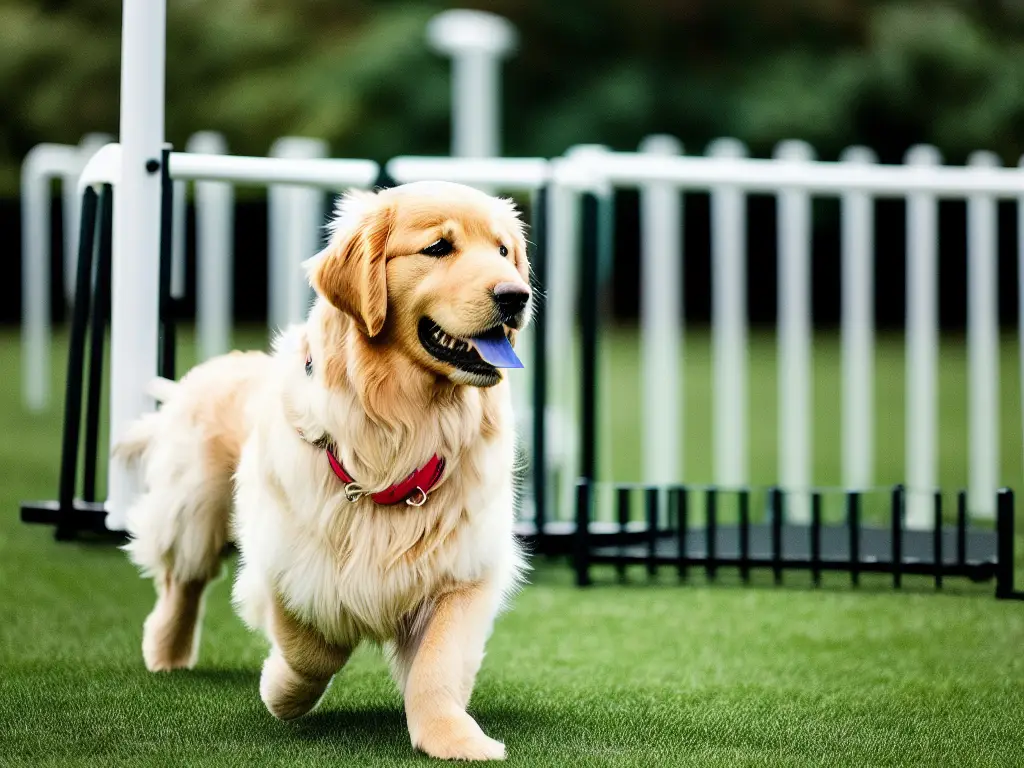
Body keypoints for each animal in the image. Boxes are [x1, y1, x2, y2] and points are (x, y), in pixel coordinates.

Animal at [116, 182, 536, 765]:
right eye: (438, 248)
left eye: (502, 251)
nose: (516, 296)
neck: (401, 432)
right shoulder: (288, 560)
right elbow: (312, 648)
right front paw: (281, 691)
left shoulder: (461, 570)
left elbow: (438, 663)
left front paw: (455, 739)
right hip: (193, 509)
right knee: (183, 582)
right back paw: (166, 654)